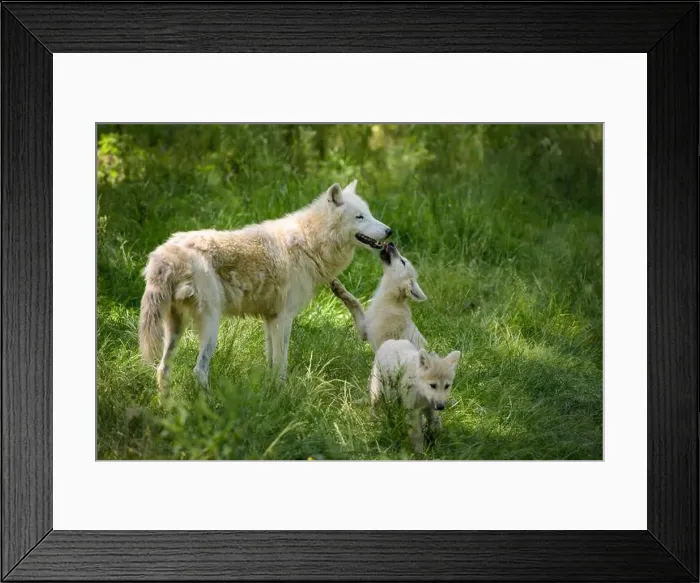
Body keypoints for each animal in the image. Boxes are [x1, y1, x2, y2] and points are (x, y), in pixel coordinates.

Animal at [139, 179, 391, 392]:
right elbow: (281, 363)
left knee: (162, 369)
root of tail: (166, 254)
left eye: (369, 214)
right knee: (199, 370)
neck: (310, 242)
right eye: (360, 217)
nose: (389, 231)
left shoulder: (270, 318)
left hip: (174, 328)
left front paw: (269, 391)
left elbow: (271, 361)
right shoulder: (284, 318)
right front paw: (282, 393)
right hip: (211, 326)